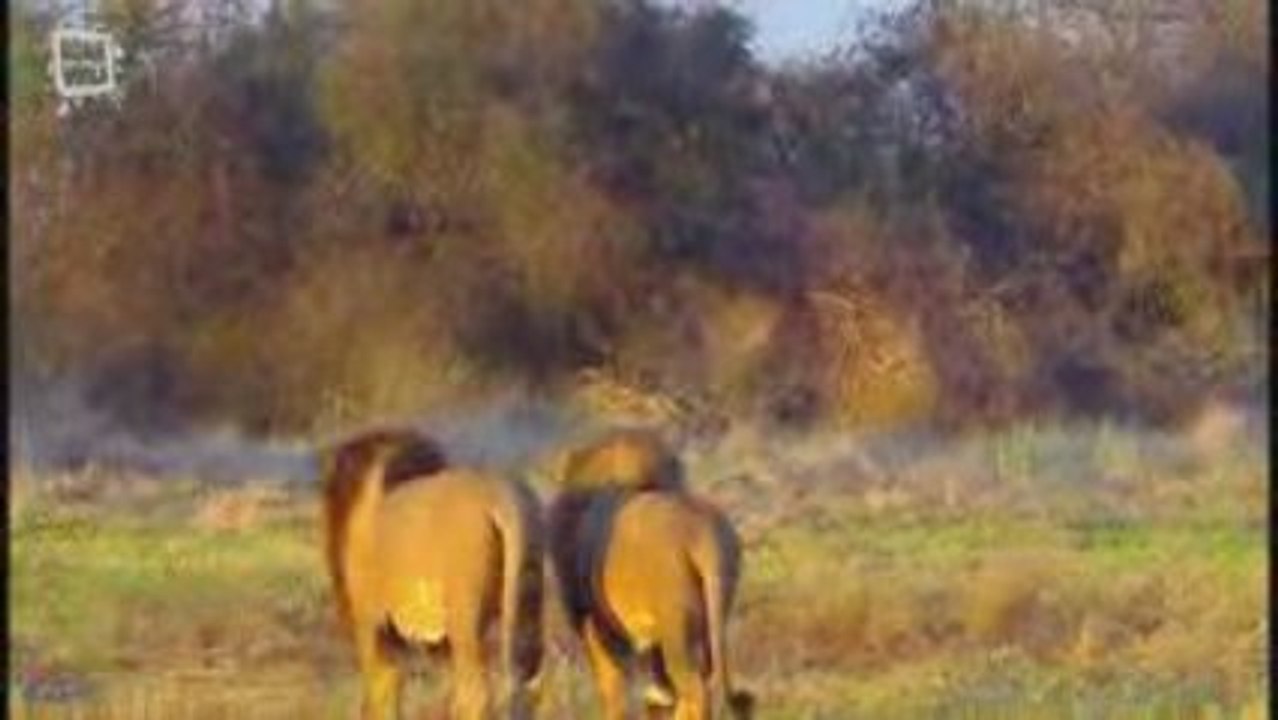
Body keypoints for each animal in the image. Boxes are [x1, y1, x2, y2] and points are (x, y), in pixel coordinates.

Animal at [320, 428, 545, 720]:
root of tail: (502, 496)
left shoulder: (370, 623)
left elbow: (382, 691)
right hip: (527, 599)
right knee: (528, 683)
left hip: (464, 617)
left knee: (477, 693)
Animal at [548, 430, 754, 720]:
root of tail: (704, 538)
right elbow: (658, 682)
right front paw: (657, 700)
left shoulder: (593, 622)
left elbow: (612, 683)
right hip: (714, 615)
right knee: (702, 679)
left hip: (676, 625)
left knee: (695, 689)